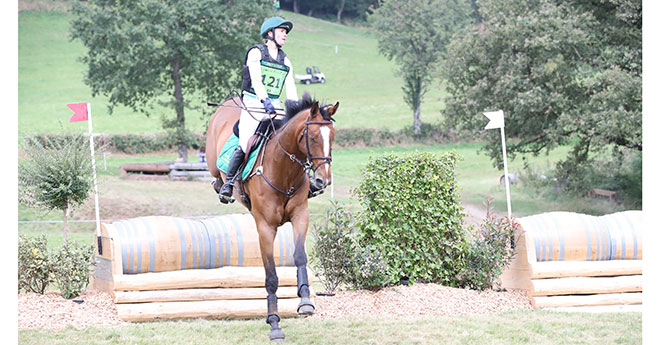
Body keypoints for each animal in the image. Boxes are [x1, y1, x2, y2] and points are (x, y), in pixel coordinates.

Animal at [206, 92, 340, 342]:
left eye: (333, 137)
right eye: (313, 137)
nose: (323, 180)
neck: (283, 169)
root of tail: (229, 102)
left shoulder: (300, 216)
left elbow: (300, 257)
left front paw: (305, 301)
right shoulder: (266, 227)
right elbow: (271, 277)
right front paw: (275, 324)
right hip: (211, 161)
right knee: (216, 174)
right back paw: (224, 187)